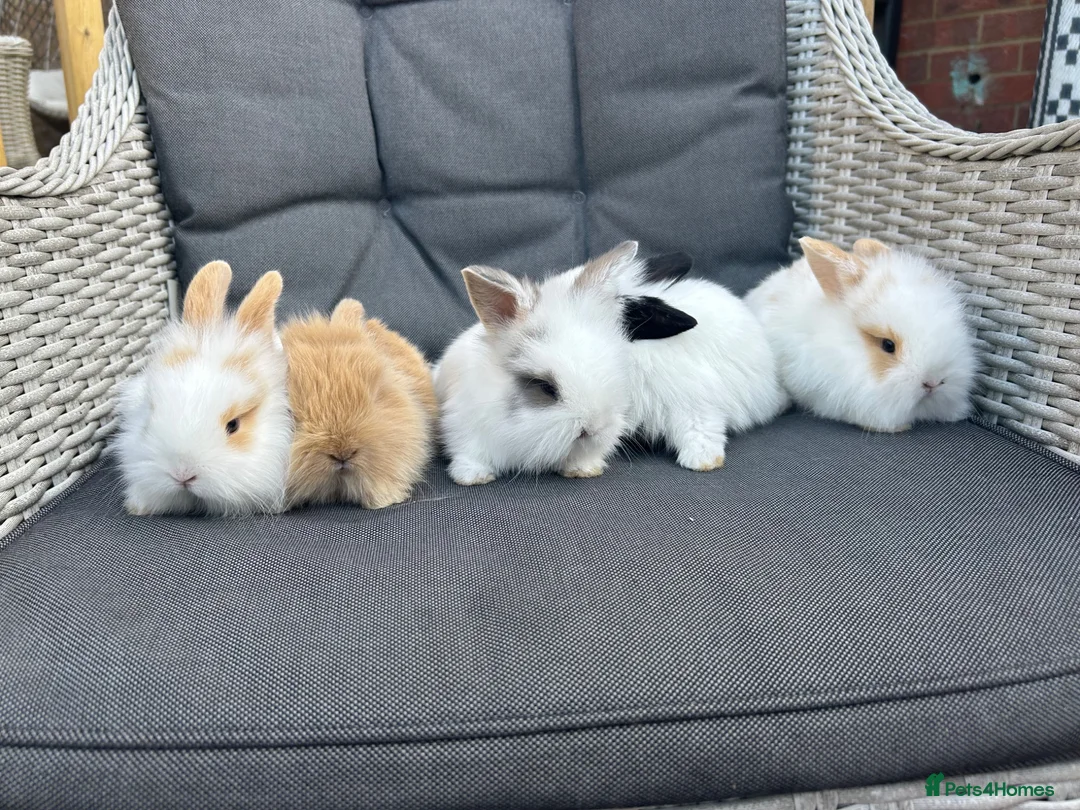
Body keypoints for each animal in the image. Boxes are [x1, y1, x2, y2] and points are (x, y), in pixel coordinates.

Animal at [434, 242, 654, 486]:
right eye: (546, 387)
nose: (593, 428)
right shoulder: (465, 427)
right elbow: (471, 455)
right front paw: (474, 477)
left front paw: (583, 469)